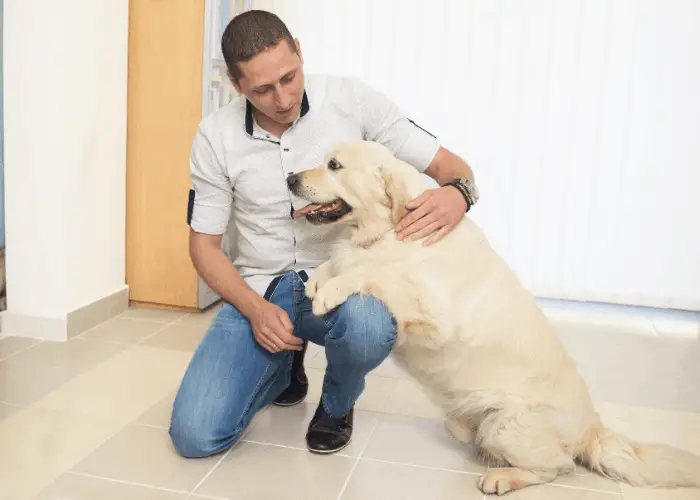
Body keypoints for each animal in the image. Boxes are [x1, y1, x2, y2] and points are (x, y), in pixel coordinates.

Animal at [288, 139, 700, 494]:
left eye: (335, 165)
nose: (290, 178)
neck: (388, 228)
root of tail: (591, 427)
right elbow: (341, 262)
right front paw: (319, 279)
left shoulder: (433, 316)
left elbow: (373, 275)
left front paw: (332, 290)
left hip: (506, 423)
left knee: (559, 466)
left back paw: (502, 477)